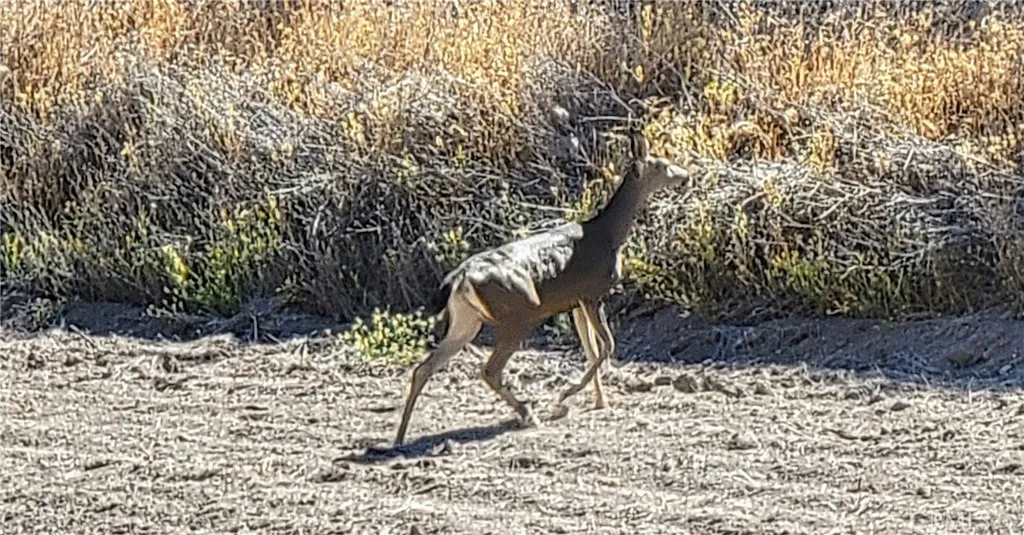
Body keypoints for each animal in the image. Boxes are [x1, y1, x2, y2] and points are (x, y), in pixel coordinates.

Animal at [394, 130, 692, 446]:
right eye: (663, 165)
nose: (686, 175)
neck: (610, 235)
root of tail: (460, 279)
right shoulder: (592, 292)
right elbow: (607, 346)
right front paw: (567, 394)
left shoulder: (575, 301)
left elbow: (591, 349)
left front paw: (599, 401)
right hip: (519, 313)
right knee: (489, 370)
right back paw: (528, 414)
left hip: (467, 321)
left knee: (424, 368)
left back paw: (400, 436)